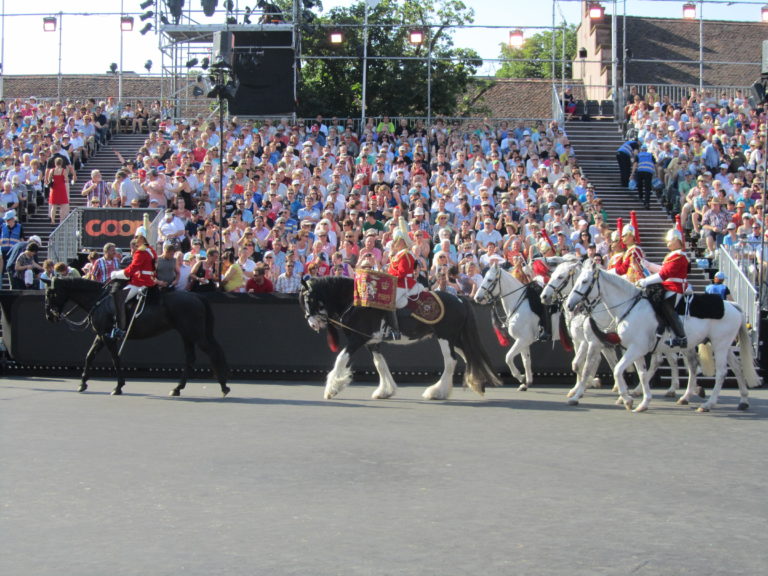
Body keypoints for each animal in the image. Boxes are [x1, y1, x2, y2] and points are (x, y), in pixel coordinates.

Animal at [44, 278, 230, 396]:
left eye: (50, 294)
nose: (50, 316)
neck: (99, 300)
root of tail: (196, 295)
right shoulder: (101, 335)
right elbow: (89, 356)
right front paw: (83, 382)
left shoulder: (108, 337)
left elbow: (115, 359)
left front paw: (118, 386)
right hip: (187, 335)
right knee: (190, 358)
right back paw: (178, 388)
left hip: (195, 334)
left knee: (212, 353)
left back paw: (223, 386)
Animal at [296, 278, 500, 400]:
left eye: (308, 298)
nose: (312, 324)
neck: (358, 302)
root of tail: (459, 299)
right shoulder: (372, 343)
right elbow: (380, 364)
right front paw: (385, 390)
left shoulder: (357, 340)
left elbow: (340, 360)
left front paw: (331, 389)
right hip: (454, 339)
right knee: (469, 356)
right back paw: (477, 382)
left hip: (445, 338)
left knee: (451, 361)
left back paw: (437, 391)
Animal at [474, 264, 544, 392]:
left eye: (489, 280)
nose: (477, 298)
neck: (520, 305)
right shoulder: (524, 341)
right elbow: (526, 361)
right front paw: (526, 383)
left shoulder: (523, 340)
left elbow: (508, 357)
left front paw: (520, 377)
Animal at [540, 256, 684, 404]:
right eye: (552, 274)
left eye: (560, 277)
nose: (543, 296)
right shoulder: (585, 342)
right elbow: (605, 364)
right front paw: (583, 387)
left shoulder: (590, 342)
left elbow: (581, 365)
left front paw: (587, 385)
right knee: (665, 359)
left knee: (662, 360)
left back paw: (664, 389)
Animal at [568, 260, 760, 414]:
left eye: (584, 281)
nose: (570, 305)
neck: (630, 306)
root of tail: (733, 305)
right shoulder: (636, 350)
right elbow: (642, 374)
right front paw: (642, 402)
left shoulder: (636, 348)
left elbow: (617, 370)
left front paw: (628, 399)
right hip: (723, 346)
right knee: (735, 367)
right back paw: (742, 400)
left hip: (719, 346)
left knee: (721, 373)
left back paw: (708, 404)